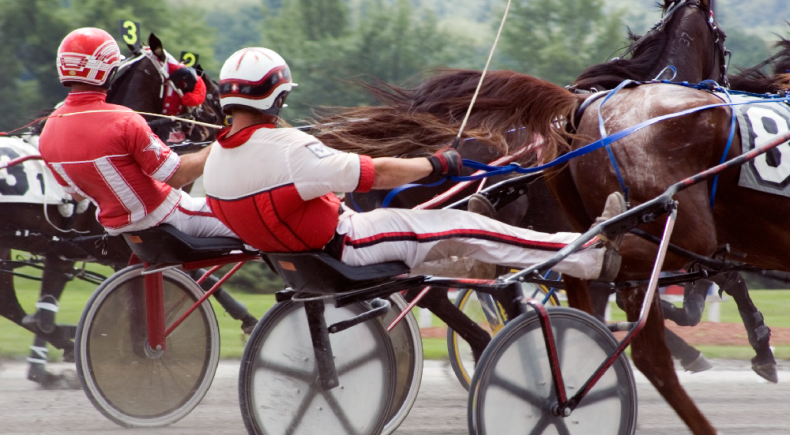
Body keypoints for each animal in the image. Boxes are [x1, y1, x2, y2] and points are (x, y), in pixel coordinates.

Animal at [0, 33, 255, 388]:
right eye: (188, 78)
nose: (223, 113)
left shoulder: (63, 248)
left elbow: (42, 314)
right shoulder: (112, 245)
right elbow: (194, 274)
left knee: (9, 305)